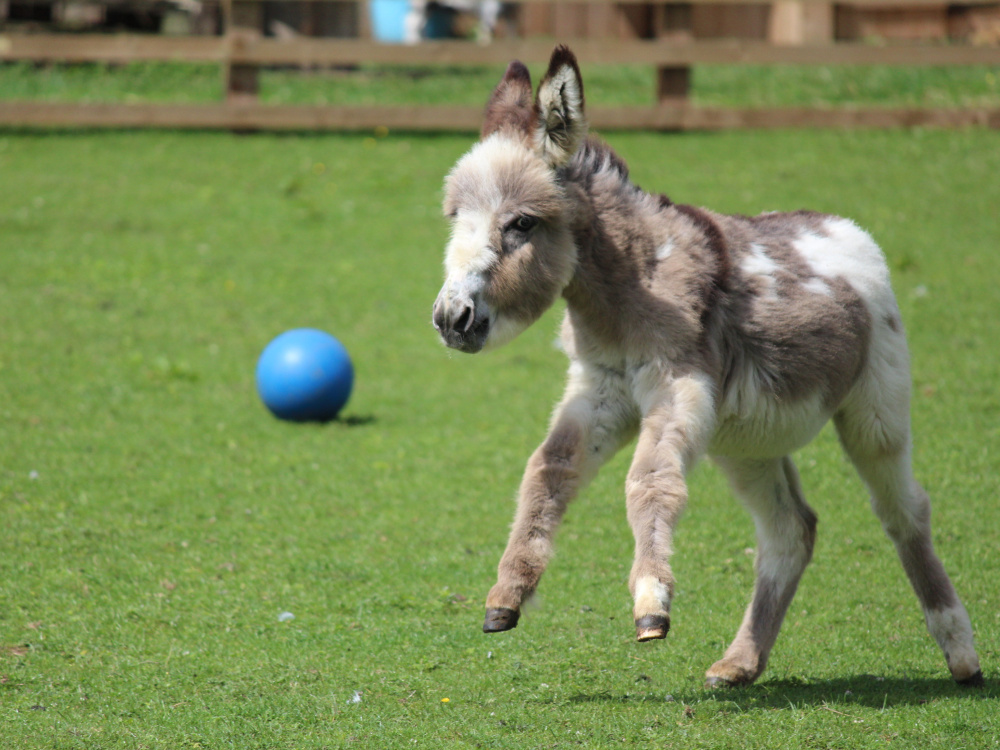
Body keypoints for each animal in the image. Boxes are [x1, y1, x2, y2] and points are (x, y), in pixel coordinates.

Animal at [428, 47, 976, 692]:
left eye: (521, 223)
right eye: (455, 216)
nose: (451, 319)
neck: (624, 291)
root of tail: (846, 228)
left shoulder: (676, 384)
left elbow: (648, 481)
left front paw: (650, 603)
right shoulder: (600, 390)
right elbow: (548, 470)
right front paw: (507, 594)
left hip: (876, 410)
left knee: (905, 511)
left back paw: (960, 651)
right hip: (745, 443)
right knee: (791, 530)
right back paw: (740, 663)